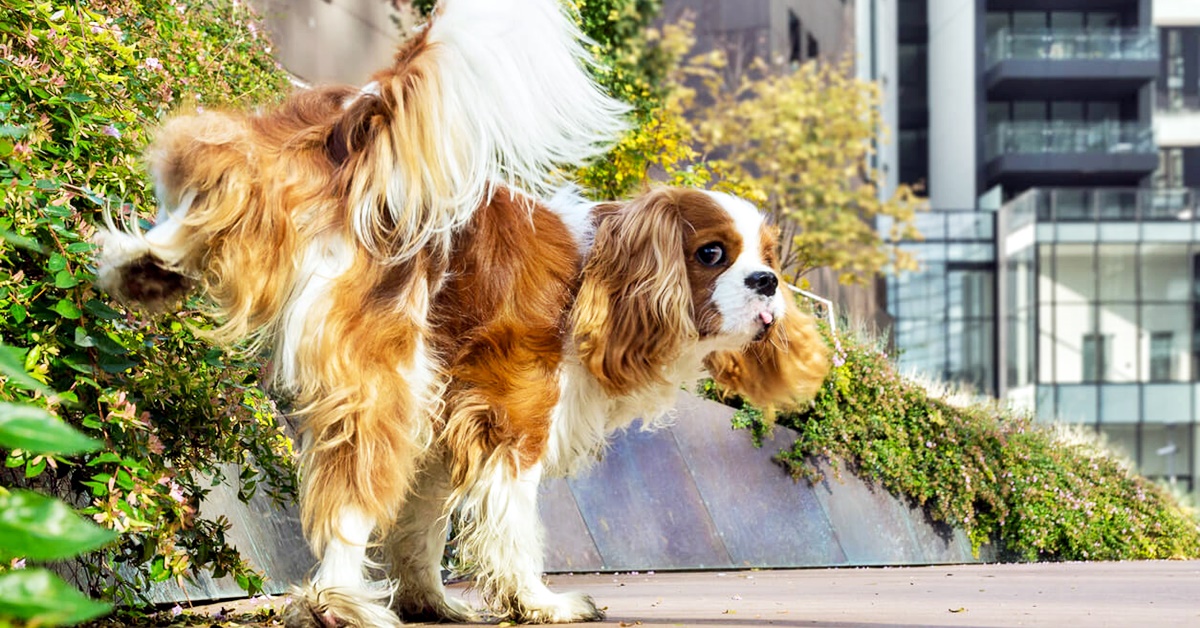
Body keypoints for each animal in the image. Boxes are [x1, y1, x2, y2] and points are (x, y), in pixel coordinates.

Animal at [93, 0, 830, 624]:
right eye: (712, 254)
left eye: (769, 256)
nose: (766, 282)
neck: (600, 278)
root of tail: (362, 126)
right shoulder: (516, 415)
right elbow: (512, 525)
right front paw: (538, 603)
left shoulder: (447, 423)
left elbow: (423, 524)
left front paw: (429, 600)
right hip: (386, 378)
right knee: (352, 497)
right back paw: (337, 601)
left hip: (273, 191)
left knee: (215, 179)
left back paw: (141, 267)